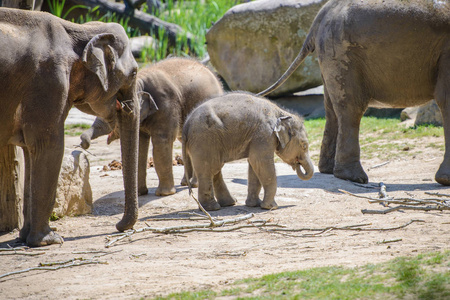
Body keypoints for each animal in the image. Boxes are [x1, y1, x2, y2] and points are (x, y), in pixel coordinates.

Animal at [0, 8, 141, 246]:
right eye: (134, 73)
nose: (119, 226)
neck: (78, 29)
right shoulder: (49, 82)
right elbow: (50, 146)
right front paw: (49, 240)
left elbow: (30, 151)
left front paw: (25, 238)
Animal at [80, 57, 224, 196]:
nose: (83, 142)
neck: (138, 83)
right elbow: (139, 145)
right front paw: (140, 193)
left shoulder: (165, 105)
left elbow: (161, 142)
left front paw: (164, 194)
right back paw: (186, 183)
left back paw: (194, 184)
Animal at [182, 91, 312, 211]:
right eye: (304, 145)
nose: (297, 164)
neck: (280, 112)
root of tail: (186, 124)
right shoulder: (264, 134)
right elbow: (261, 163)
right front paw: (271, 207)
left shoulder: (257, 138)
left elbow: (254, 165)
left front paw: (254, 205)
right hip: (204, 140)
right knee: (209, 169)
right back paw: (212, 208)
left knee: (215, 169)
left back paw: (229, 203)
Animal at [258, 0, 450, 185]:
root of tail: (320, 16)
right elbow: (446, 99)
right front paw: (445, 180)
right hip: (342, 52)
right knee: (351, 108)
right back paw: (353, 177)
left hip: (331, 52)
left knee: (331, 109)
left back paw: (329, 170)